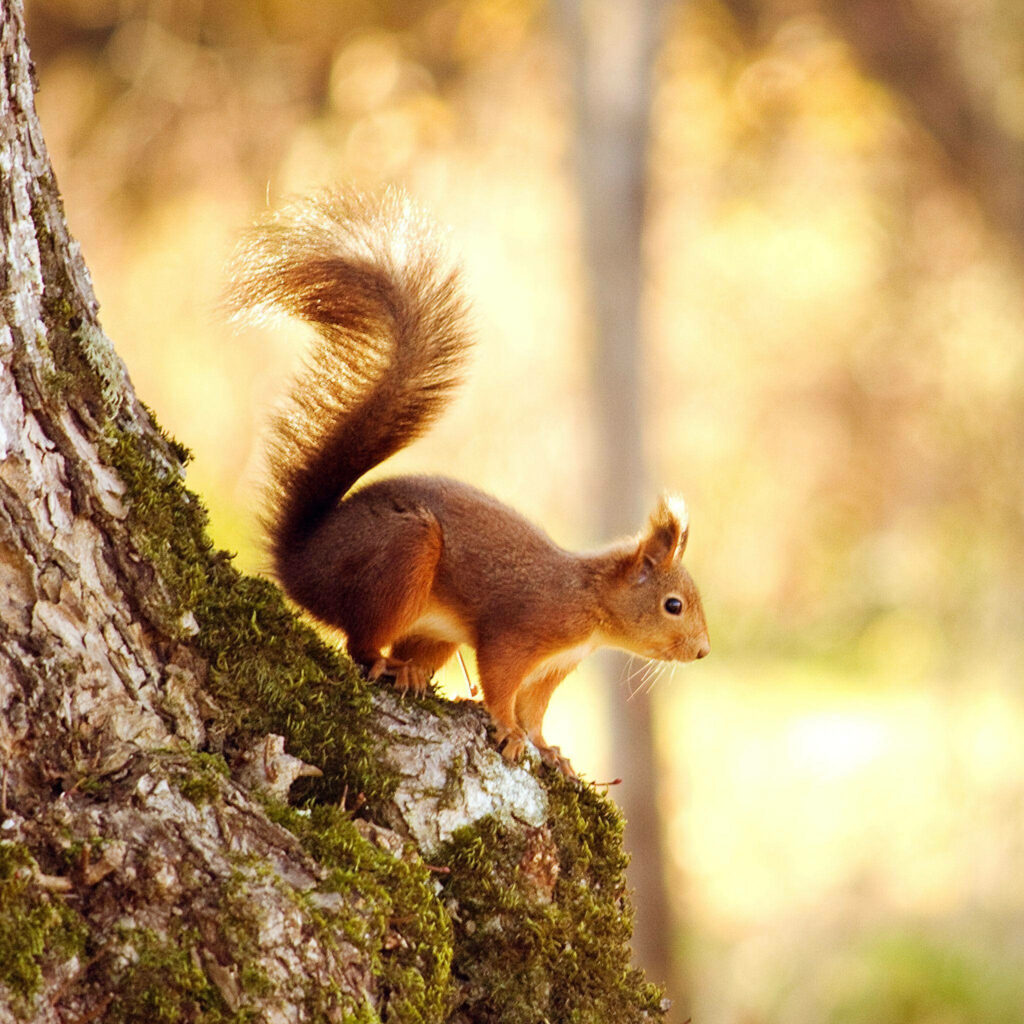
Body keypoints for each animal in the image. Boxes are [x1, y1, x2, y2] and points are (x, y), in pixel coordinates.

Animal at [228, 188, 710, 777]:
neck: (590, 602)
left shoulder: (554, 667)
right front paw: (508, 731)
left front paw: (549, 749)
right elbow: (501, 683)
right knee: (360, 645)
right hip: (403, 557)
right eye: (673, 605)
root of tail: (299, 562)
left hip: (431, 625)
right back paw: (387, 665)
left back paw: (411, 670)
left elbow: (535, 709)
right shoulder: (521, 631)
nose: (702, 651)